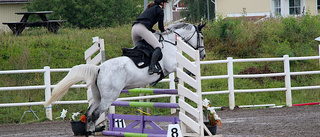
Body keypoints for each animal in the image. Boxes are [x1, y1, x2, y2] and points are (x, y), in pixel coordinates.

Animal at [43, 22, 206, 136]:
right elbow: (182, 68)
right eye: (202, 37)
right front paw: (188, 75)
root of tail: (99, 69)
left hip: (98, 96)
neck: (171, 42)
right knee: (95, 114)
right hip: (109, 97)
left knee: (89, 114)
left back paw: (90, 132)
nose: (203, 55)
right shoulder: (172, 65)